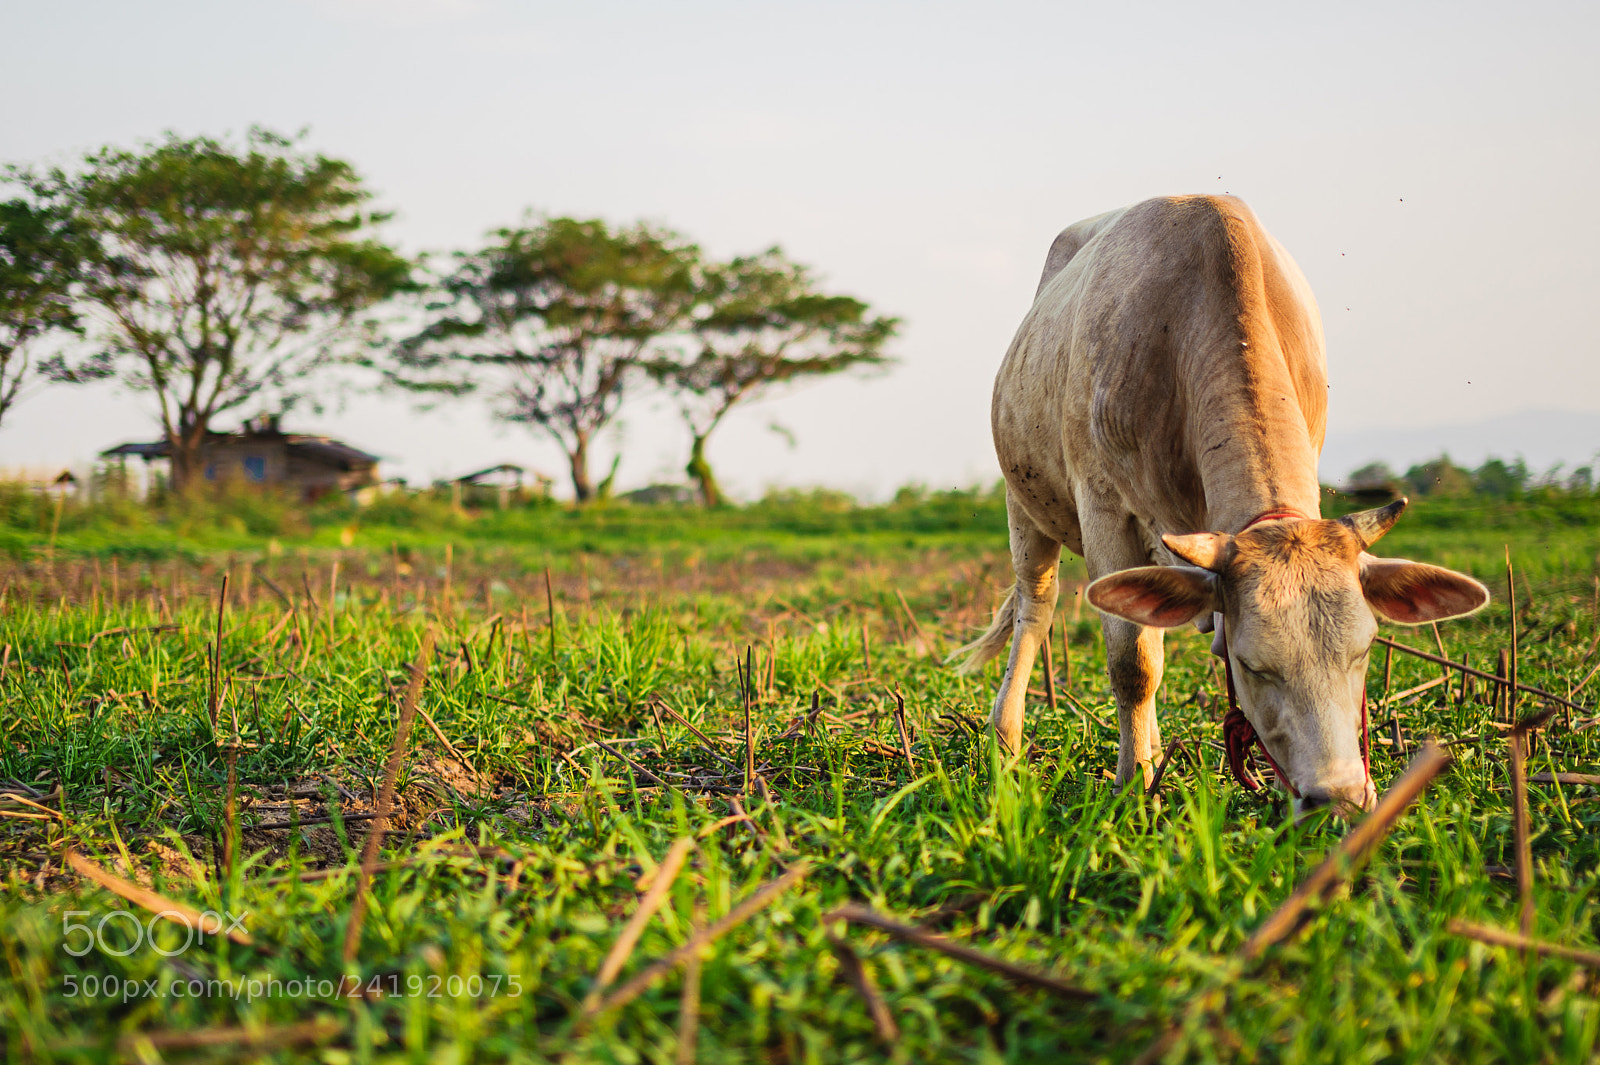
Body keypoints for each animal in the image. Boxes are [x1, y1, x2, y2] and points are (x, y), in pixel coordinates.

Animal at [953, 194, 1488, 817]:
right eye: (1252, 665)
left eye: (1365, 652)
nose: (1337, 797)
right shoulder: (1105, 507)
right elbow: (1131, 663)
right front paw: (1132, 787)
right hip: (1025, 502)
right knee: (1035, 610)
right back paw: (1006, 739)